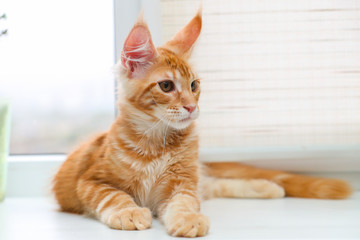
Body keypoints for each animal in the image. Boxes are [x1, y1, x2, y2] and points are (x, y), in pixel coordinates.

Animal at [53, 10, 352, 237]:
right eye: (166, 86)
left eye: (194, 85)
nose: (191, 106)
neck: (156, 142)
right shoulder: (89, 180)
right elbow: (113, 196)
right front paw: (129, 211)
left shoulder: (183, 182)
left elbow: (186, 201)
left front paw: (187, 219)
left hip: (196, 175)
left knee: (212, 184)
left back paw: (267, 187)